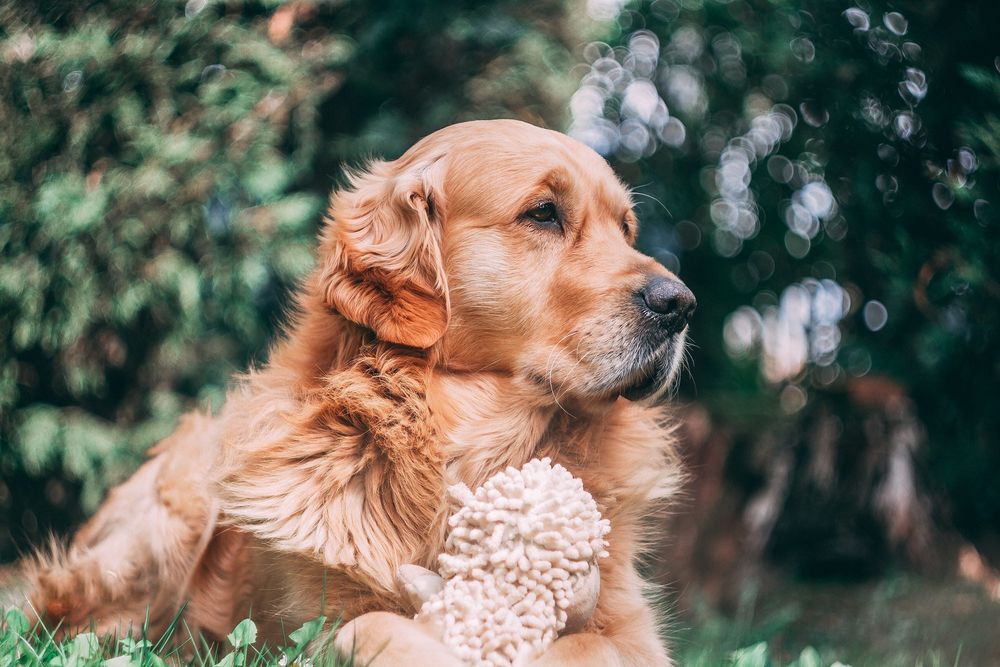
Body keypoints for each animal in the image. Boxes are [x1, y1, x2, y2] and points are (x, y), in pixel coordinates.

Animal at [21, 120, 696, 667]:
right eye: (543, 213)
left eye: (627, 229)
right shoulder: (309, 625)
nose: (680, 304)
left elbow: (592, 643)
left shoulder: (632, 631)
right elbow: (369, 626)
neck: (478, 452)